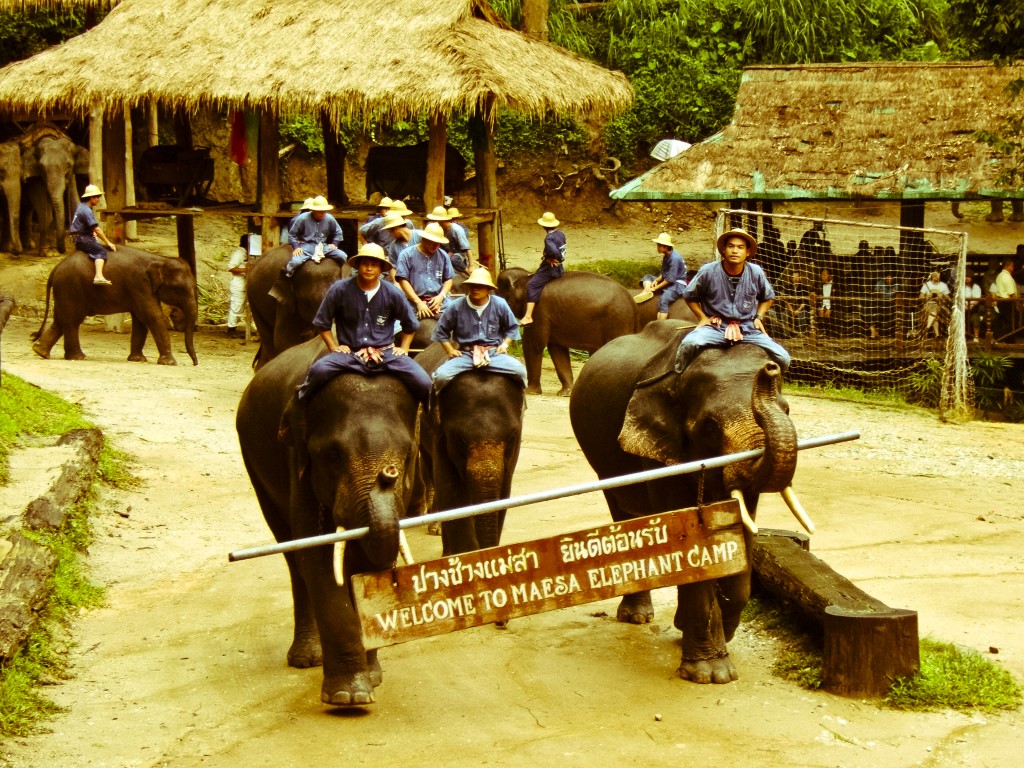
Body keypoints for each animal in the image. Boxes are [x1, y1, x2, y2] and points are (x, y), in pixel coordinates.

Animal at [31, 246, 199, 366]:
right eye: (179, 289)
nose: (195, 363)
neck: (160, 259)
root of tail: (55, 268)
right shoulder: (139, 284)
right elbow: (152, 316)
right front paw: (170, 363)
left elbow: (140, 320)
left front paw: (137, 360)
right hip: (71, 288)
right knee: (72, 321)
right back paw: (78, 357)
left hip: (64, 290)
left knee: (61, 320)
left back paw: (40, 352)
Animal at [235, 339, 423, 708]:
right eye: (333, 455)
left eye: (407, 455)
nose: (387, 475)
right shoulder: (298, 462)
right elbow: (317, 556)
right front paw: (349, 696)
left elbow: (367, 564)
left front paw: (373, 678)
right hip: (253, 462)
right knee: (293, 557)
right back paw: (307, 658)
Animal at [497, 268, 638, 397]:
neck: (528, 277)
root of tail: (632, 302)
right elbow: (557, 350)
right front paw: (565, 393)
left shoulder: (538, 310)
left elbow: (534, 344)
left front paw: (529, 392)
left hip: (618, 320)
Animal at [569, 321, 806, 684]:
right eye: (709, 428)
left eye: (788, 411)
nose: (769, 369)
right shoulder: (657, 449)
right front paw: (711, 674)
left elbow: (739, 533)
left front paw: (716, 632)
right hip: (604, 464)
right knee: (624, 513)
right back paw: (636, 618)